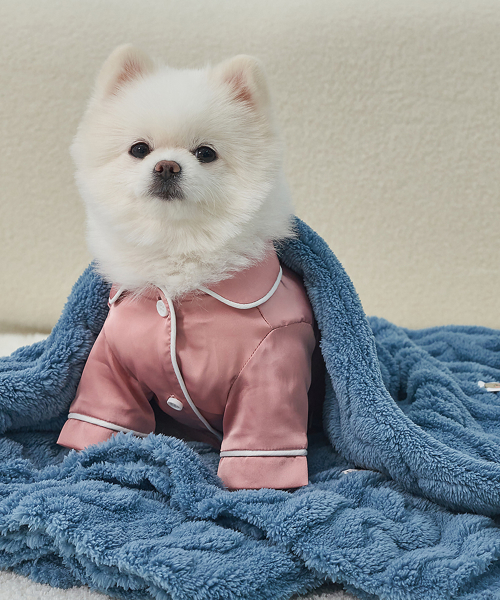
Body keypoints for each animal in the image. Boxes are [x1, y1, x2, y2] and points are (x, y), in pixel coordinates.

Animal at [58, 45, 321, 490]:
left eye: (205, 153)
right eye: (139, 149)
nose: (167, 165)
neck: (179, 251)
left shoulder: (272, 367)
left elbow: (261, 438)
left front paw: (256, 485)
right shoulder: (110, 359)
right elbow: (104, 412)